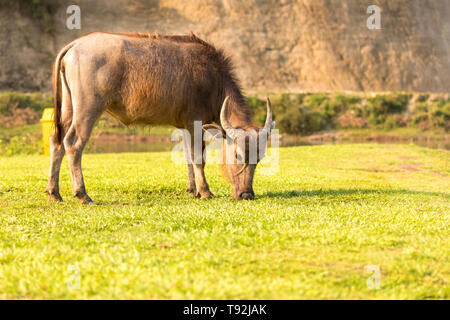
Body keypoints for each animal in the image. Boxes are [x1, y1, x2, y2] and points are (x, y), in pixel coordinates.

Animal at [47, 31, 276, 202]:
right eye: (237, 155)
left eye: (259, 158)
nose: (246, 195)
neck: (213, 80)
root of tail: (75, 45)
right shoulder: (195, 123)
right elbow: (198, 159)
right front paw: (205, 191)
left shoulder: (185, 126)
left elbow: (188, 158)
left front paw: (192, 190)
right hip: (88, 108)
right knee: (73, 143)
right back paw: (82, 194)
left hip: (68, 108)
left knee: (57, 141)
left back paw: (54, 192)